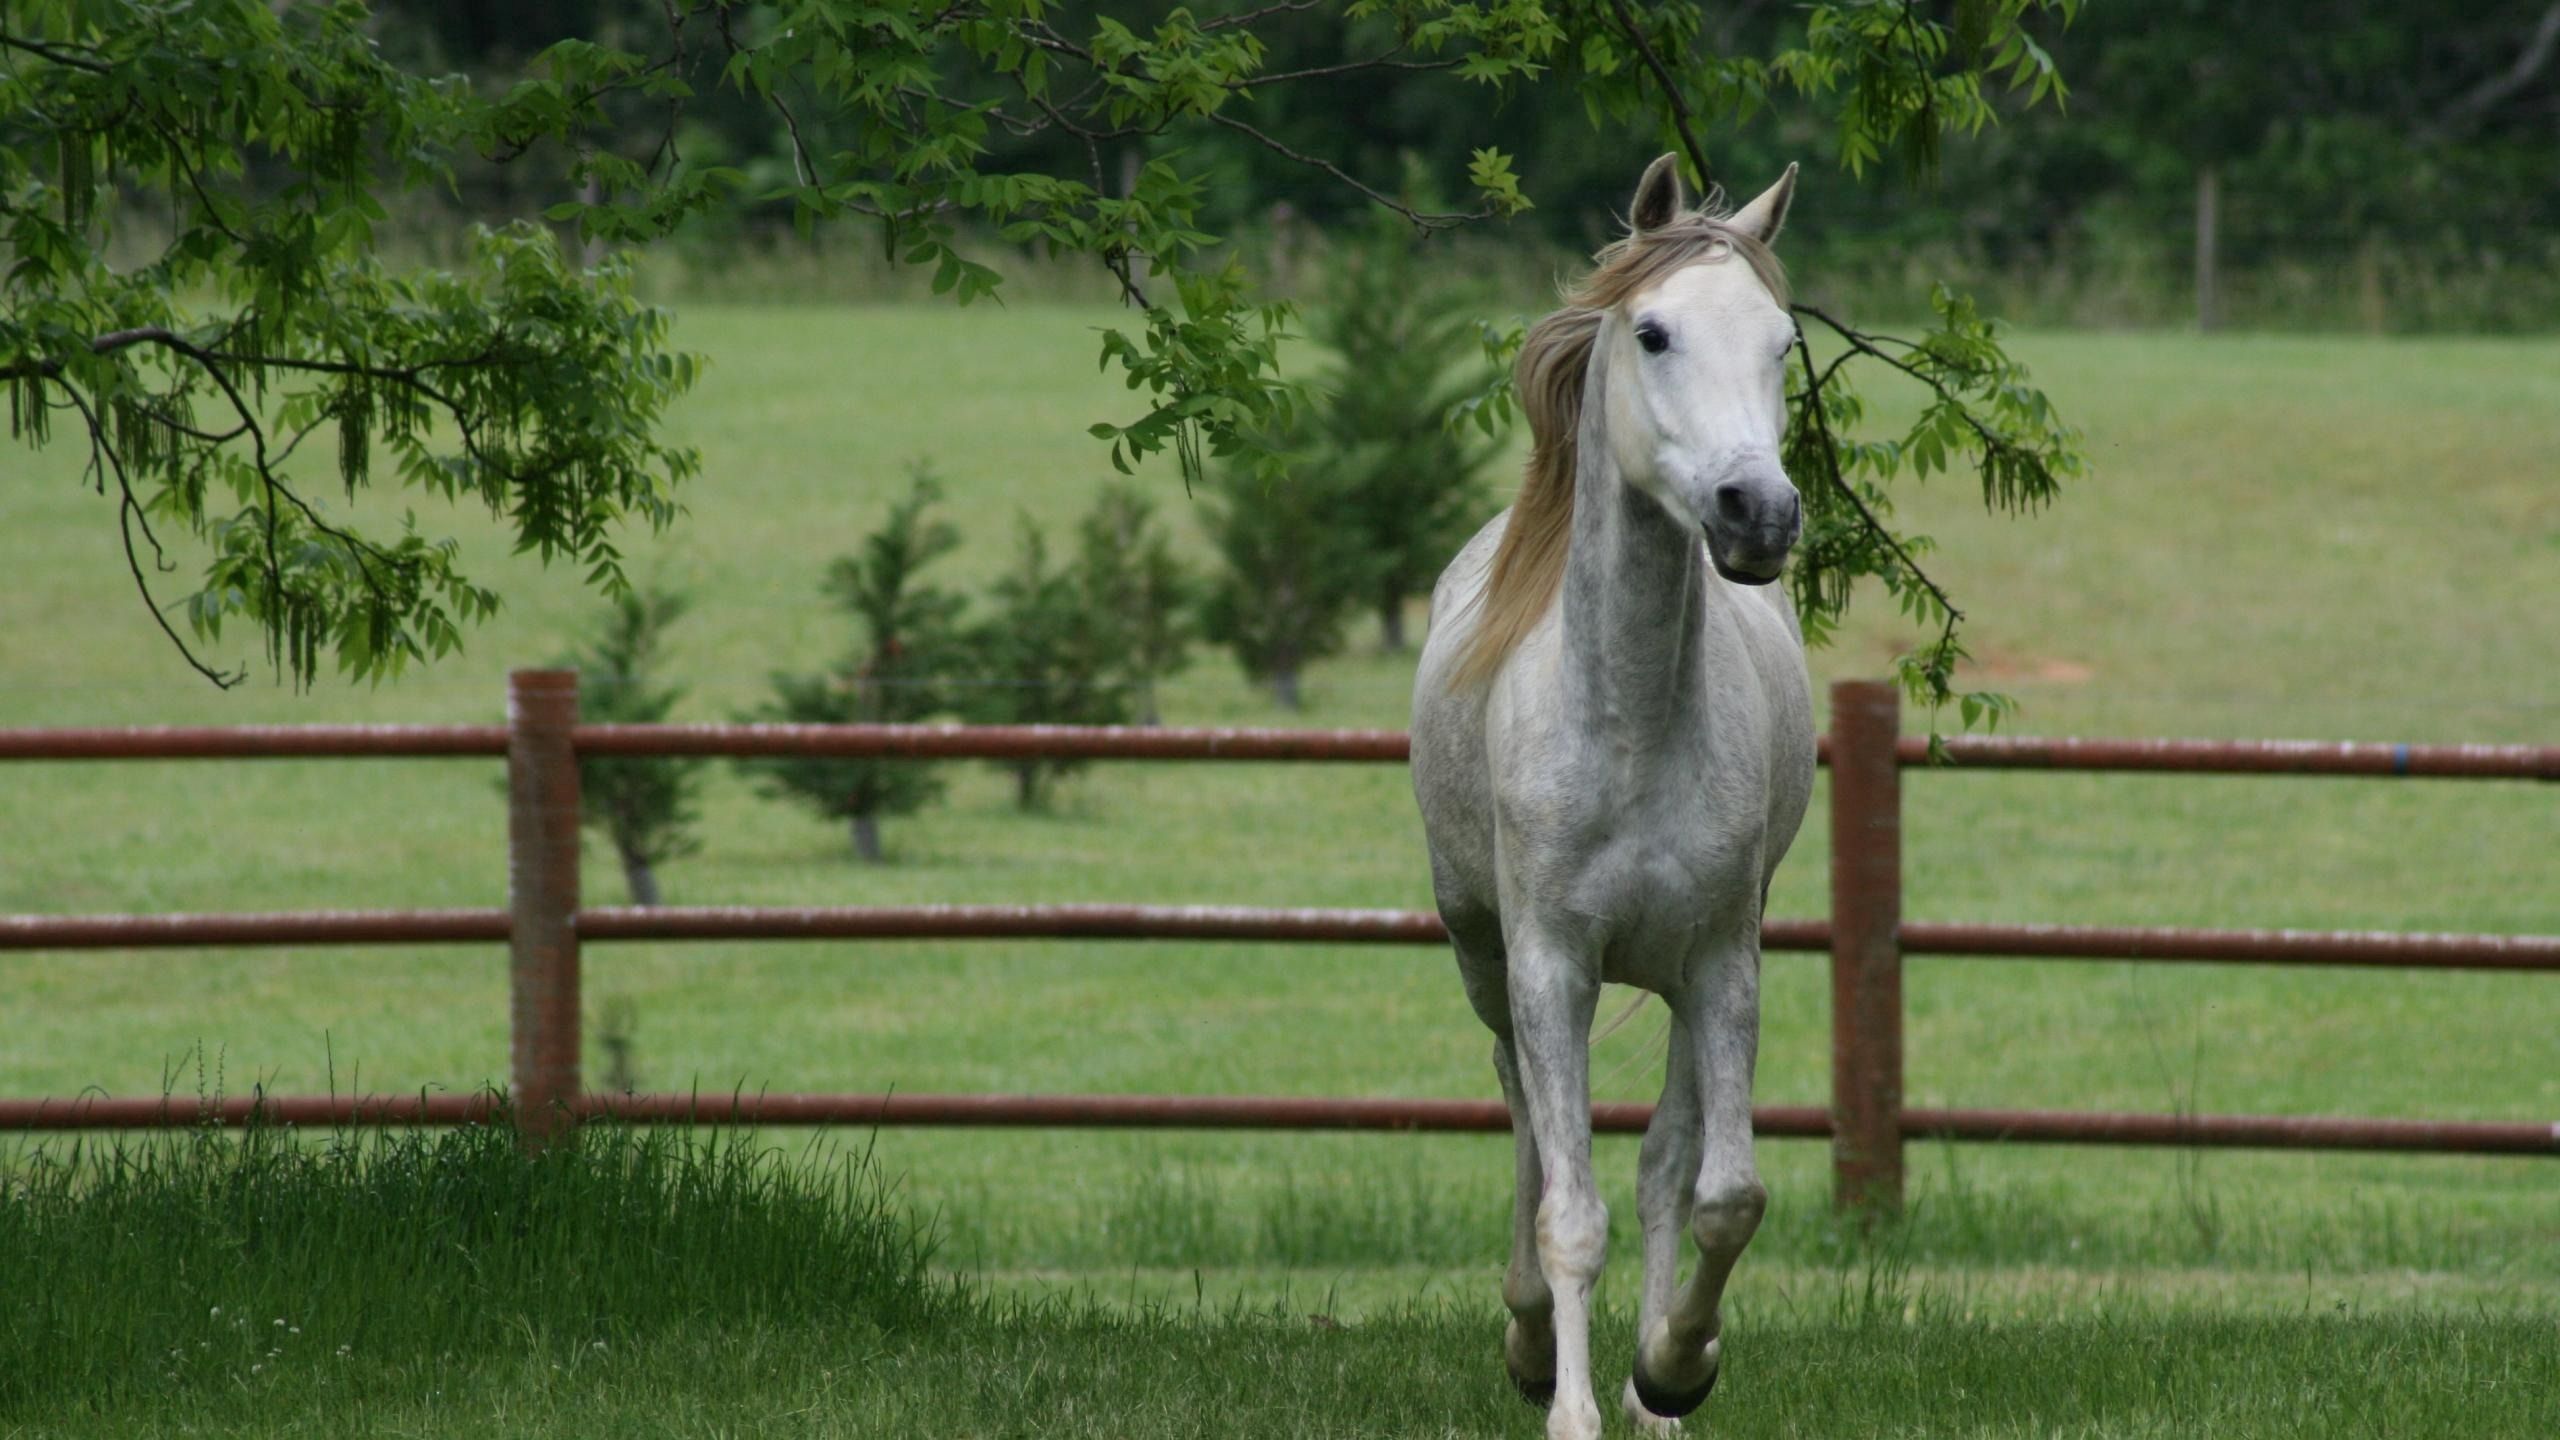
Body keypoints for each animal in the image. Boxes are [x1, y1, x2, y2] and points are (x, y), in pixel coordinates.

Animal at [1402, 151, 1822, 1424]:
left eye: (1782, 342)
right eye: (1653, 332)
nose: (1757, 513)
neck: (1629, 728)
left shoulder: (1722, 964)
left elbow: (1716, 1191)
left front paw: (1672, 1370)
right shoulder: (1550, 966)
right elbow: (1568, 1211)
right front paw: (1571, 1411)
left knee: (1663, 1163)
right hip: (1485, 959)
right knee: (1527, 1125)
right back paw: (1531, 1340)